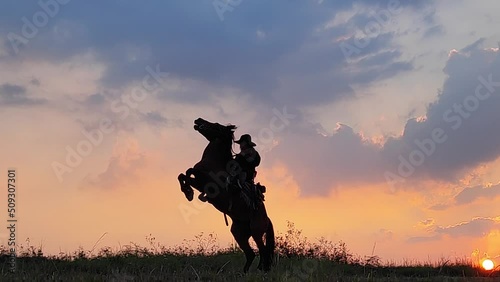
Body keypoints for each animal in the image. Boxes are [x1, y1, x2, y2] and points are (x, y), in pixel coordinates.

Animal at [178, 118, 276, 272]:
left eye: (217, 125)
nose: (198, 120)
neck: (214, 162)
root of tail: (267, 219)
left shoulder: (206, 183)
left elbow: (189, 171)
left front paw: (189, 193)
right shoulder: (198, 181)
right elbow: (183, 174)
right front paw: (188, 192)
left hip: (256, 232)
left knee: (263, 251)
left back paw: (261, 270)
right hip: (239, 234)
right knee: (251, 254)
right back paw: (245, 273)